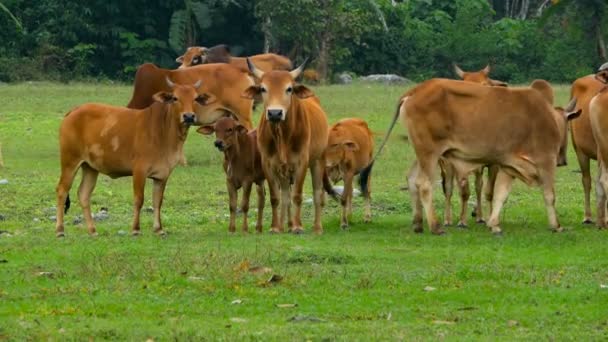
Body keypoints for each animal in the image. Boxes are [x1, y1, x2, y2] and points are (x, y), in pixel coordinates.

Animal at [56, 79, 214, 238]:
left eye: (195, 98)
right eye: (175, 98)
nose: (189, 116)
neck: (164, 132)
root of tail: (74, 111)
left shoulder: (163, 174)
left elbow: (157, 201)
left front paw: (159, 229)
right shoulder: (139, 170)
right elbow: (139, 199)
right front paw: (136, 229)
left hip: (90, 167)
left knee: (83, 194)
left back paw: (93, 231)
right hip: (70, 161)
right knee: (62, 190)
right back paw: (60, 230)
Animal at [241, 59, 330, 235]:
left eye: (289, 89)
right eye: (263, 88)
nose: (275, 113)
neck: (282, 136)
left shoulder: (301, 163)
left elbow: (297, 195)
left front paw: (297, 226)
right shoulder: (268, 164)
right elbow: (276, 198)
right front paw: (275, 227)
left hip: (318, 161)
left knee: (317, 194)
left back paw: (317, 227)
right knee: (285, 196)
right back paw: (284, 225)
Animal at [372, 79, 576, 235]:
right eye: (567, 126)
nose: (563, 160)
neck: (548, 117)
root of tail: (415, 91)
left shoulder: (508, 166)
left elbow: (500, 195)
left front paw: (494, 224)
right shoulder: (545, 160)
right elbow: (549, 195)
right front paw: (556, 225)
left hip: (422, 152)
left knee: (411, 178)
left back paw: (418, 223)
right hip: (430, 152)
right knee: (423, 184)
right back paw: (436, 226)